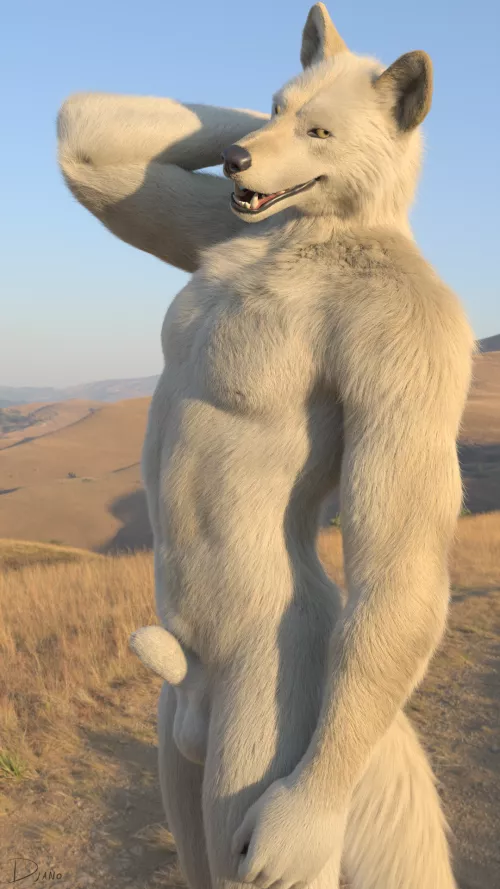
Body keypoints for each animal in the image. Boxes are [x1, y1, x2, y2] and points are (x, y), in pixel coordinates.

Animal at [58, 4, 474, 888]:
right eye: (277, 107)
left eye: (320, 131)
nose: (238, 156)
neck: (315, 238)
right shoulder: (213, 210)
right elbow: (89, 142)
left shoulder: (416, 336)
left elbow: (399, 570)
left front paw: (298, 819)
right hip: (179, 768)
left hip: (256, 744)